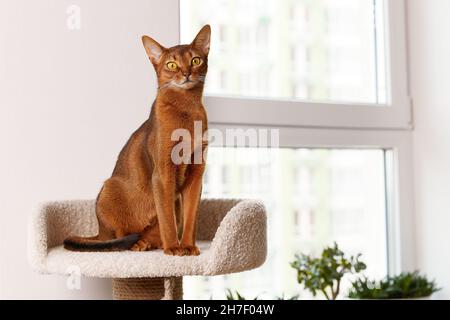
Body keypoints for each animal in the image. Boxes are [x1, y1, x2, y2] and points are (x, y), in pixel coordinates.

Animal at [64, 25, 212, 256]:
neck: (187, 111)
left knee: (154, 233)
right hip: (109, 188)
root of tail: (98, 232)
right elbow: (167, 219)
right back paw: (138, 244)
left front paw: (188, 246)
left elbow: (191, 218)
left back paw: (149, 242)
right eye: (171, 64)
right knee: (118, 237)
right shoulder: (163, 173)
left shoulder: (196, 173)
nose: (186, 73)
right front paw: (173, 248)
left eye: (195, 60)